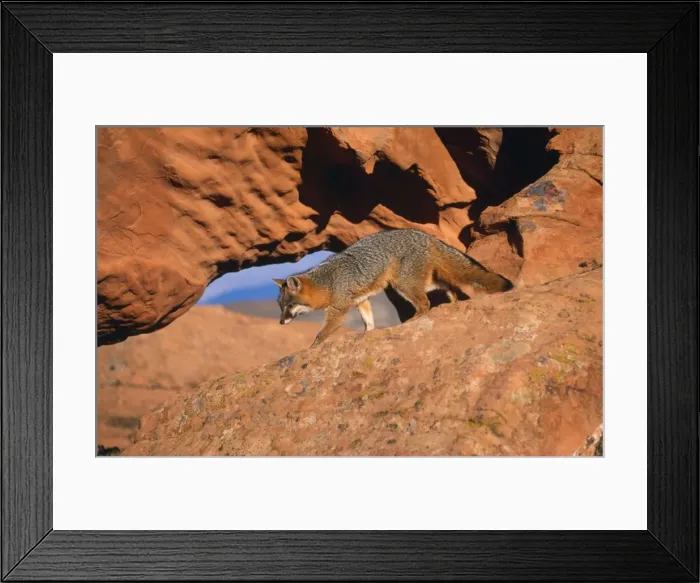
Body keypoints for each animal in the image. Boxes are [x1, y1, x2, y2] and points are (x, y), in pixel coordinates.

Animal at [274, 228, 513, 347]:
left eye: (290, 306)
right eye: (280, 306)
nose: (281, 322)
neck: (328, 281)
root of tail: (425, 235)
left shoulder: (338, 310)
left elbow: (320, 334)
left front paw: (312, 348)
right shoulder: (361, 300)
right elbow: (368, 321)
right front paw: (368, 334)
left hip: (402, 284)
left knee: (425, 304)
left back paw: (411, 321)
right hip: (422, 280)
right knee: (448, 285)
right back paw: (453, 302)